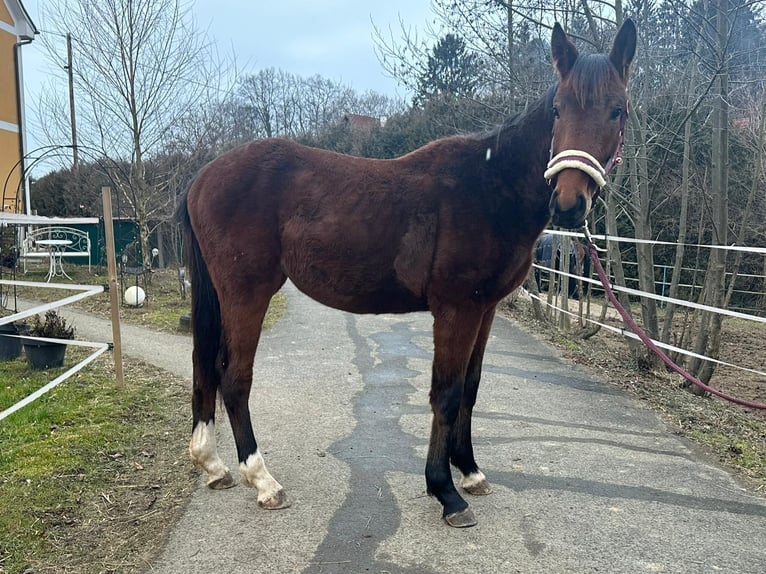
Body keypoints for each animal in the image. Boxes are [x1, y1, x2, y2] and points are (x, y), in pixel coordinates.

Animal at [178, 20, 636, 528]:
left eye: (617, 110)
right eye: (558, 109)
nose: (569, 203)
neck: (489, 187)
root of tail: (202, 177)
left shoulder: (485, 309)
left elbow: (471, 388)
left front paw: (470, 472)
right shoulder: (456, 309)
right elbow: (446, 393)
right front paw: (446, 492)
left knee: (205, 365)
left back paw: (213, 465)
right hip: (247, 292)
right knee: (234, 375)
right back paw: (263, 481)